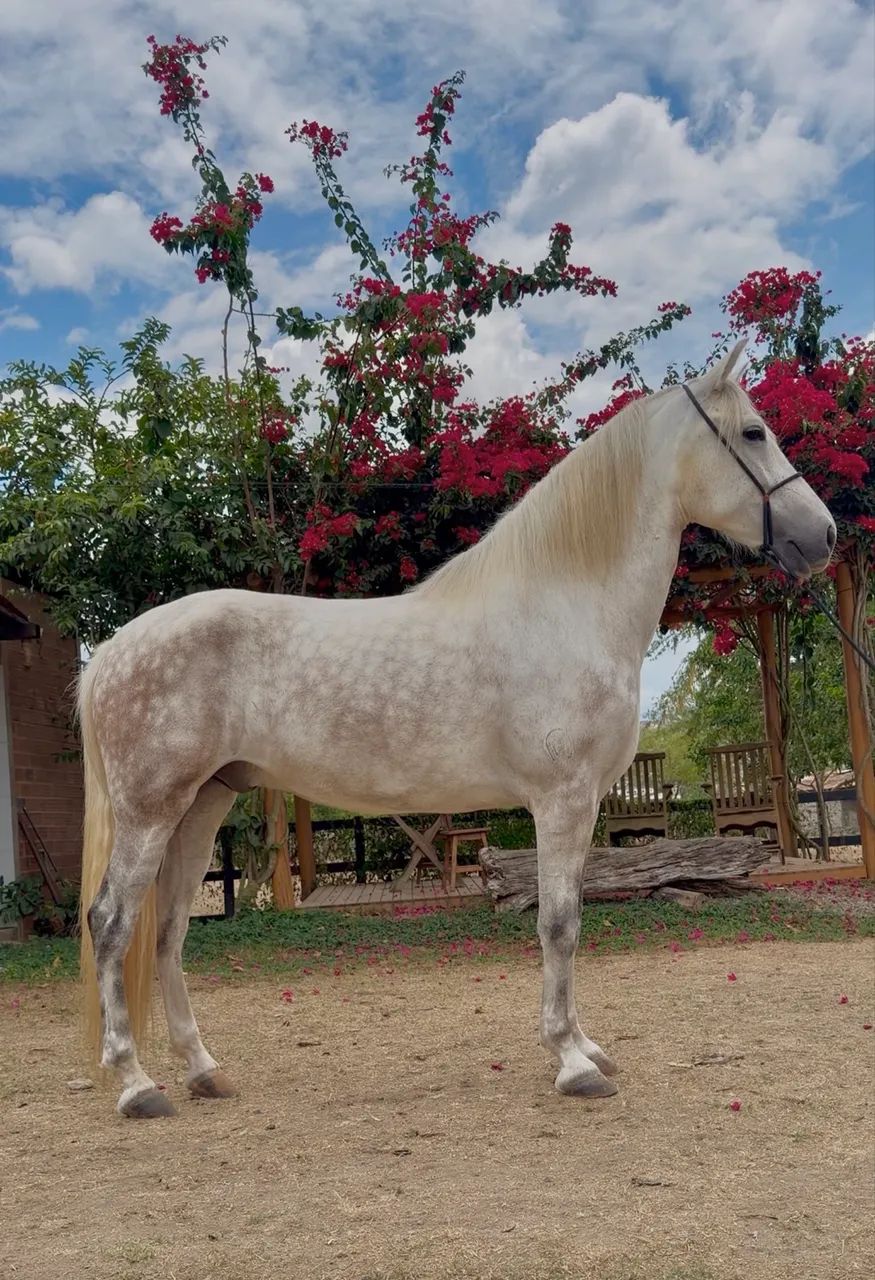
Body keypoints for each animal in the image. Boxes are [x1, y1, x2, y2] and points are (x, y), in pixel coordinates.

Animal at [79, 340, 836, 1118]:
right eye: (753, 433)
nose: (824, 536)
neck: (566, 604)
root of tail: (112, 650)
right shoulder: (561, 800)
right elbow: (558, 923)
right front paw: (572, 1063)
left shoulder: (582, 805)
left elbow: (570, 918)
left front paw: (584, 1046)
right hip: (151, 812)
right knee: (112, 924)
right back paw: (136, 1084)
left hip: (203, 804)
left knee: (168, 930)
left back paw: (203, 1070)